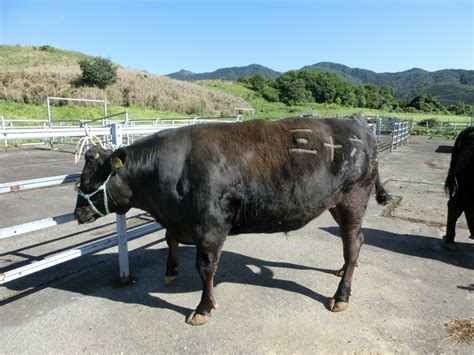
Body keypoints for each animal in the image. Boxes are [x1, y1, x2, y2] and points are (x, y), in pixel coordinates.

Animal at [74, 116, 390, 326]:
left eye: (89, 181)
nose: (78, 214)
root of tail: (357, 122)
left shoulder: (210, 227)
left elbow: (205, 268)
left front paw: (203, 308)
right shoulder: (179, 221)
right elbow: (170, 239)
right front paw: (170, 272)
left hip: (353, 197)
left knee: (352, 242)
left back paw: (341, 296)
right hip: (335, 203)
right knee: (355, 242)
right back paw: (342, 270)